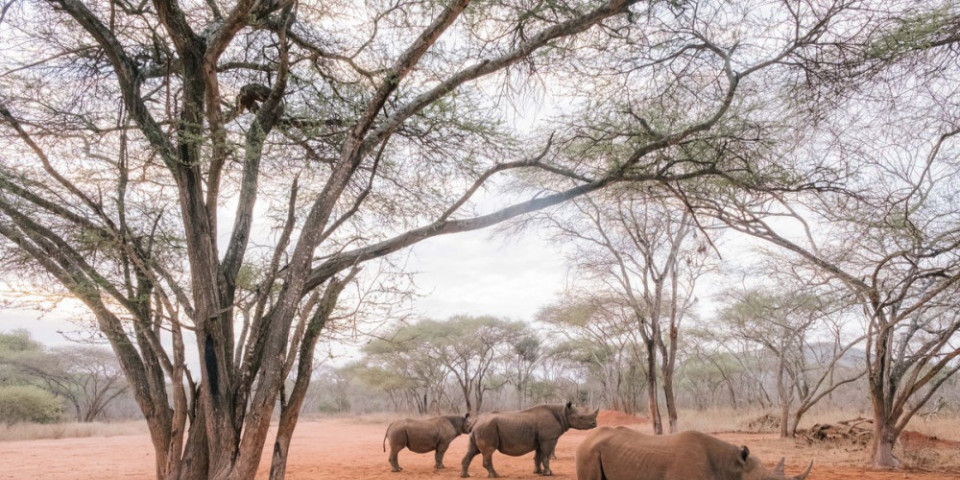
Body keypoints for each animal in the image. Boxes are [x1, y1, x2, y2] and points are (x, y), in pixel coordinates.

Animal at [461, 402, 599, 478]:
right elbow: (545, 456)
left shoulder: (541, 440)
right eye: (581, 418)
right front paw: (549, 473)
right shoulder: (548, 439)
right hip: (486, 427)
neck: (562, 413)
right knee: (488, 451)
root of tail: (476, 420)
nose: (594, 424)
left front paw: (538, 472)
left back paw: (465, 475)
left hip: (481, 427)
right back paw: (495, 476)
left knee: (473, 451)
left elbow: (538, 456)